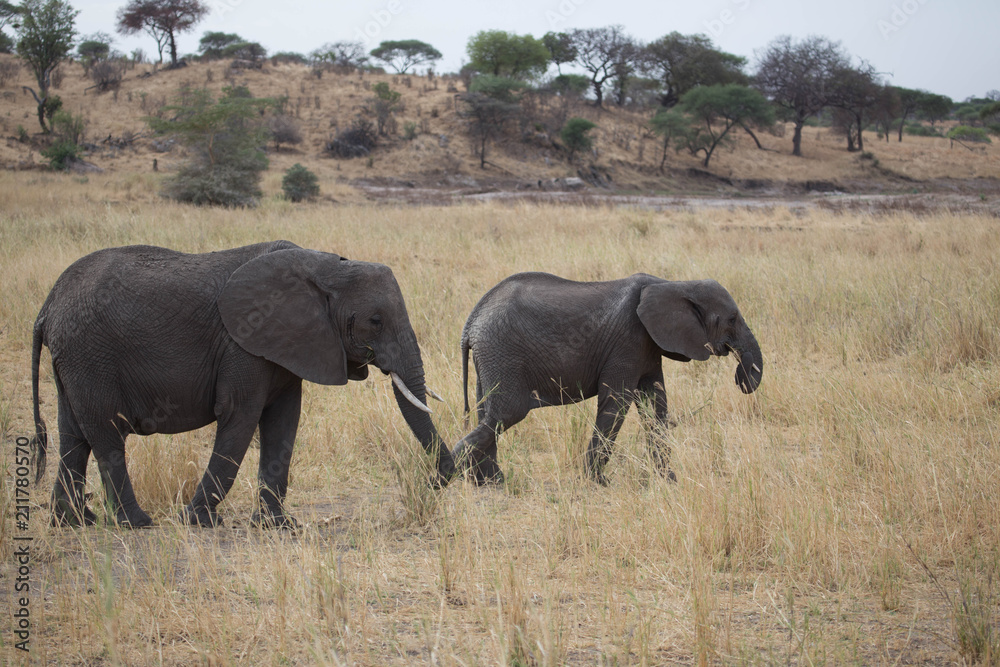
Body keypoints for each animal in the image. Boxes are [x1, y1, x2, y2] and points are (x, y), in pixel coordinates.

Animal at [29, 243, 456, 528]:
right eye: (375, 321)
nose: (435, 481)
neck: (325, 266)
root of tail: (47, 308)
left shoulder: (289, 346)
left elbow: (285, 421)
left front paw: (277, 526)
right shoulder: (243, 344)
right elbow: (240, 416)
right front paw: (197, 520)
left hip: (74, 361)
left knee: (74, 435)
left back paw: (75, 521)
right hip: (90, 355)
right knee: (106, 433)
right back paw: (137, 523)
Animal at [456, 272, 764, 486]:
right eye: (732, 319)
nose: (740, 375)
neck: (674, 283)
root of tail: (471, 323)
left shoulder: (648, 346)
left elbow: (656, 405)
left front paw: (670, 481)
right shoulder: (628, 340)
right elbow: (617, 403)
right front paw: (599, 482)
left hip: (491, 358)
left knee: (488, 413)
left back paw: (490, 482)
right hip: (502, 353)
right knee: (507, 412)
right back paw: (460, 471)